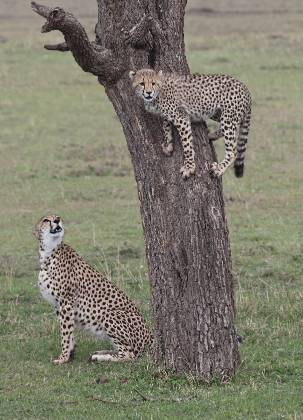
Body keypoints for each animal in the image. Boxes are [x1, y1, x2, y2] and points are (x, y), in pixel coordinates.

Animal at [34, 215, 152, 362]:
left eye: (57, 217)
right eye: (46, 220)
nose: (57, 220)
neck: (49, 251)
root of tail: (151, 336)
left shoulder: (65, 302)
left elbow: (65, 333)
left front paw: (63, 358)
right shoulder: (59, 304)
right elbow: (69, 331)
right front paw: (70, 354)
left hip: (110, 314)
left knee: (129, 354)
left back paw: (101, 357)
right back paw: (100, 352)